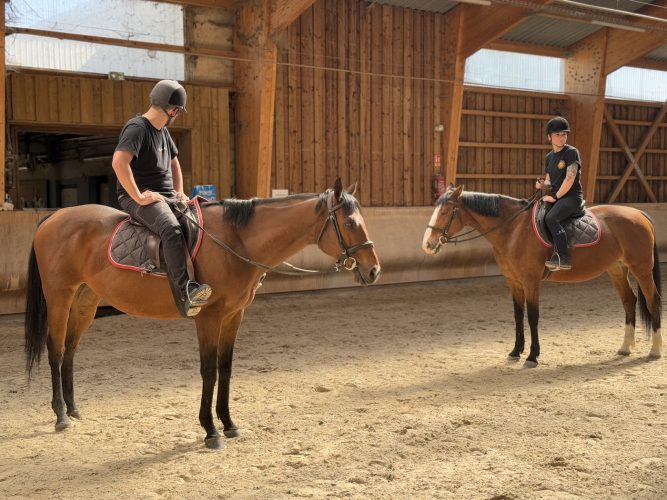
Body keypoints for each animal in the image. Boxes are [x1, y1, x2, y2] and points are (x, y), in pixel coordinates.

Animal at [24, 179, 381, 448]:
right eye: (349, 223)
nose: (374, 270)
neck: (236, 242)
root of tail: (53, 218)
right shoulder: (209, 318)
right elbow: (209, 371)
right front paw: (210, 431)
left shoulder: (234, 316)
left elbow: (225, 368)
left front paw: (229, 423)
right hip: (60, 297)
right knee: (56, 350)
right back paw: (60, 415)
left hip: (86, 299)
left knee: (71, 350)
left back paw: (73, 409)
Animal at [422, 184, 662, 367]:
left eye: (445, 212)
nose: (427, 245)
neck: (514, 230)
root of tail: (639, 214)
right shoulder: (514, 282)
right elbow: (518, 315)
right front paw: (515, 352)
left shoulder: (531, 281)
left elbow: (532, 316)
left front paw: (532, 355)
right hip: (617, 270)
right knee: (629, 301)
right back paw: (625, 348)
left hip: (641, 269)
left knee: (652, 301)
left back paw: (655, 350)